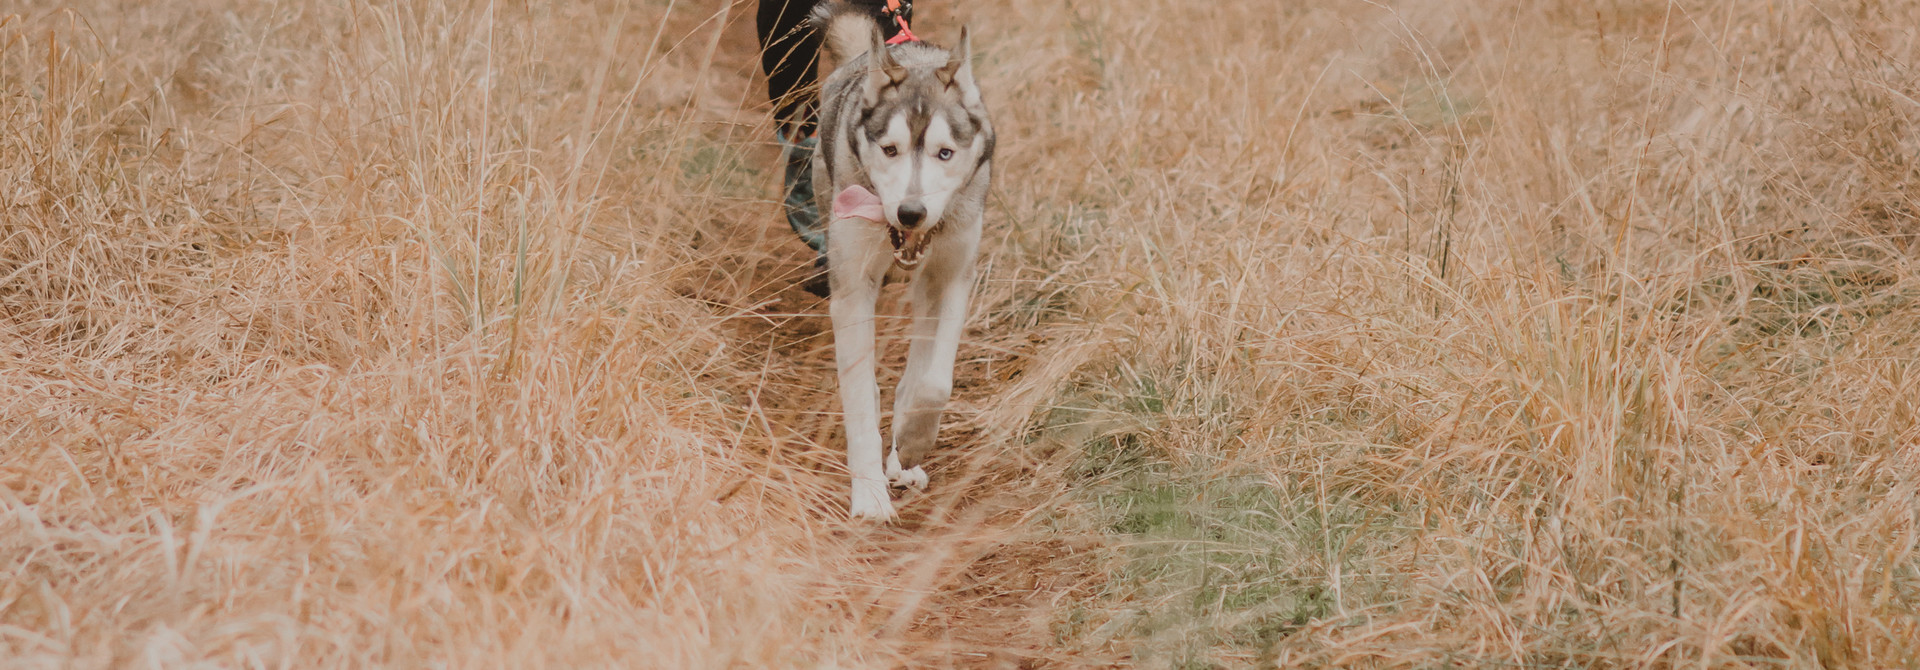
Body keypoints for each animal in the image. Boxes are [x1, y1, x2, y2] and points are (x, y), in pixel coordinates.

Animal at [810, 0, 998, 518]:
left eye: (945, 153)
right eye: (889, 150)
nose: (911, 212)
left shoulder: (951, 276)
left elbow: (934, 384)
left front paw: (912, 442)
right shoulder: (852, 292)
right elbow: (860, 398)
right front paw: (870, 496)